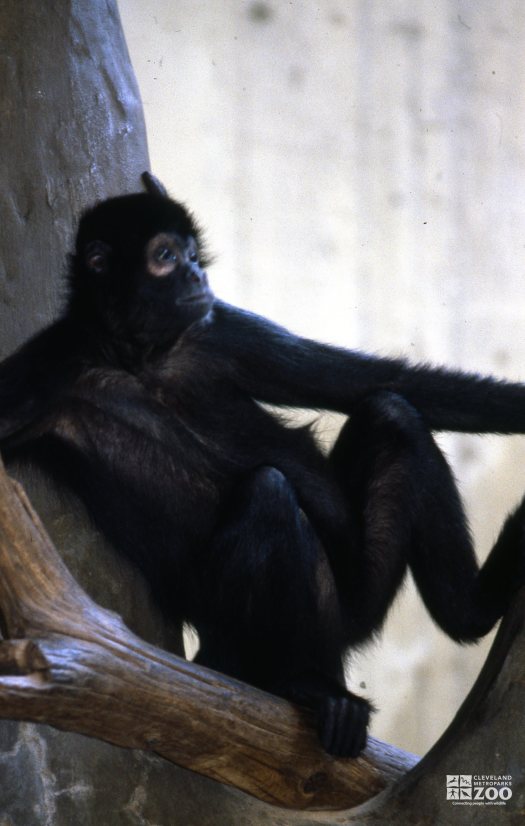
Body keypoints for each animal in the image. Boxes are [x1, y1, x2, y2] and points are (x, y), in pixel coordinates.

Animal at [1, 171, 524, 756]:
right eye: (165, 256)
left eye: (190, 254)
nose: (197, 272)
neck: (142, 362)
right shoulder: (49, 367)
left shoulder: (220, 331)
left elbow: (383, 383)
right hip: (291, 617)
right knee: (269, 493)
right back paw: (300, 684)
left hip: (356, 598)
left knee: (392, 413)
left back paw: (471, 611)